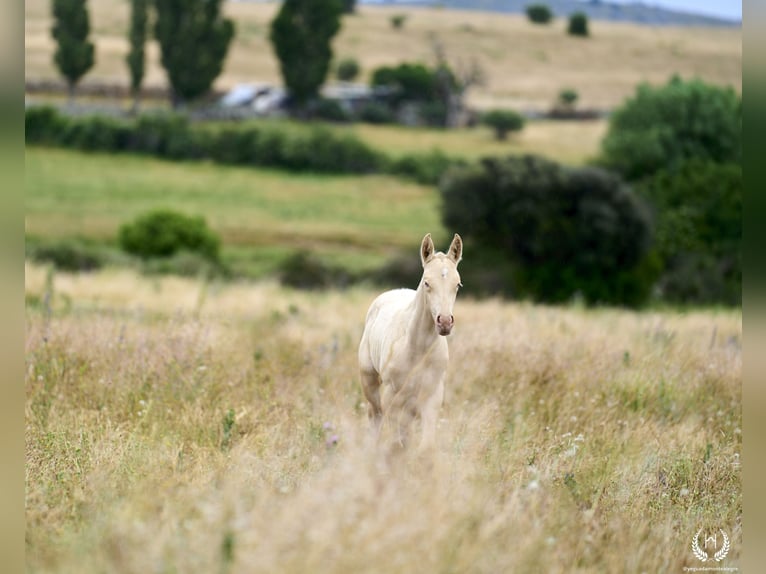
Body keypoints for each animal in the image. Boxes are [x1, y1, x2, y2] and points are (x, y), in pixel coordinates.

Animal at [358, 234, 464, 450]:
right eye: (427, 283)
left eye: (457, 285)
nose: (444, 322)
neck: (417, 348)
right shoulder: (391, 394)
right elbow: (395, 442)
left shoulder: (432, 394)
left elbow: (426, 445)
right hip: (370, 382)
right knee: (375, 416)